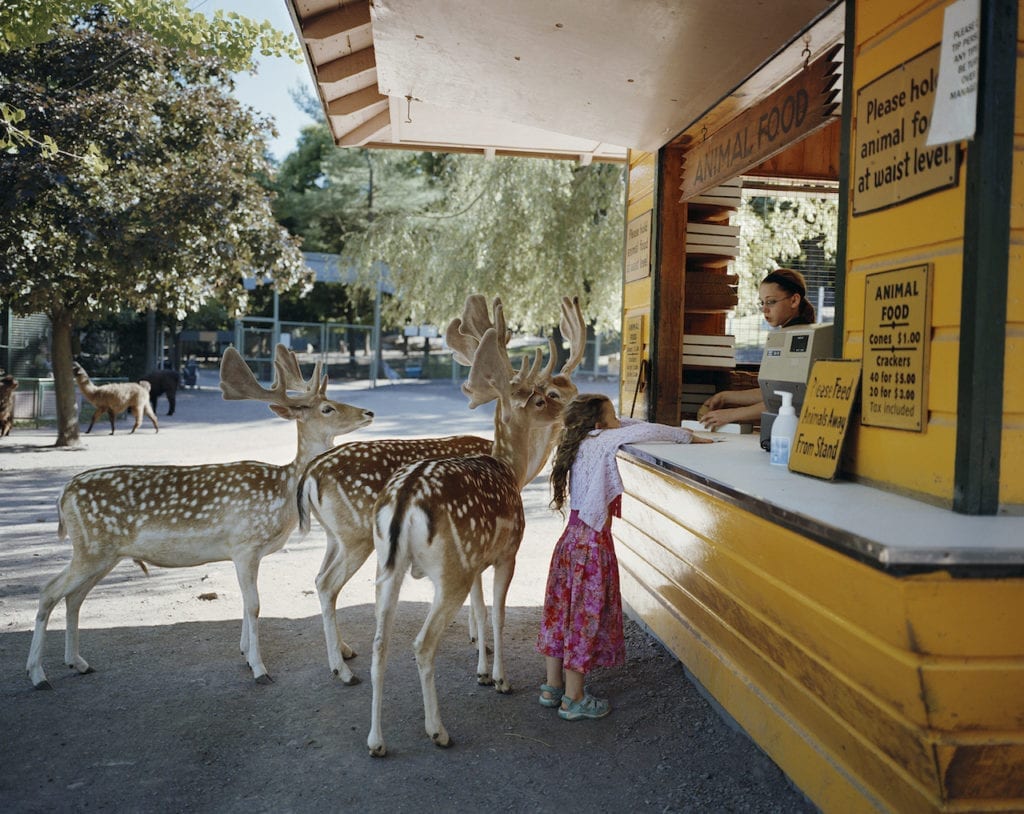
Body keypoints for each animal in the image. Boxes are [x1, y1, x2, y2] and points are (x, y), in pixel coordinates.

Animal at [24, 341, 372, 688]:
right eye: (327, 408)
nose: (368, 412)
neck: (283, 490)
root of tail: (64, 494)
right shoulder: (245, 544)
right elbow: (254, 605)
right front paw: (260, 669)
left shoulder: (246, 552)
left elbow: (246, 604)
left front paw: (246, 655)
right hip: (91, 549)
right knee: (48, 591)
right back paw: (38, 674)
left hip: (102, 554)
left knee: (73, 598)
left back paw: (78, 663)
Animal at [296, 292, 585, 688]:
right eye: (547, 395)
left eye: (572, 387)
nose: (579, 407)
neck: (515, 469)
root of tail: (310, 473)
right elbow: (485, 605)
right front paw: (485, 658)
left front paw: (480, 651)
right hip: (356, 536)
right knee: (327, 584)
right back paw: (342, 670)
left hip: (335, 536)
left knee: (321, 580)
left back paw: (345, 652)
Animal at [366, 294, 585, 757]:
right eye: (542, 399)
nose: (574, 410)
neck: (510, 469)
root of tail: (404, 499)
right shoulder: (507, 551)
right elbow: (498, 614)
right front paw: (499, 678)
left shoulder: (478, 560)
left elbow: (481, 610)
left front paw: (482, 670)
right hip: (449, 569)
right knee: (422, 644)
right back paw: (438, 731)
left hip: (389, 567)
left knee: (380, 643)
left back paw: (376, 741)